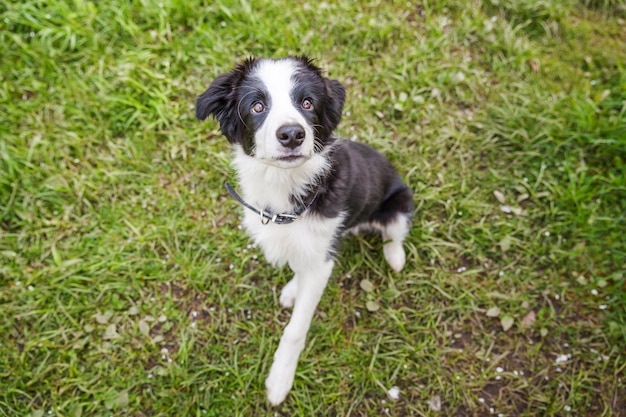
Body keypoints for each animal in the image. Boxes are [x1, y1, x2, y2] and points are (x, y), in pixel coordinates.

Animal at [193, 57, 412, 404]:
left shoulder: (321, 257)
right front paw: (293, 287)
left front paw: (280, 380)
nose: (292, 134)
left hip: (399, 205)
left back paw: (395, 256)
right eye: (257, 106)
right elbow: (298, 265)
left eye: (307, 103)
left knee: (395, 234)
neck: (286, 190)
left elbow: (295, 329)